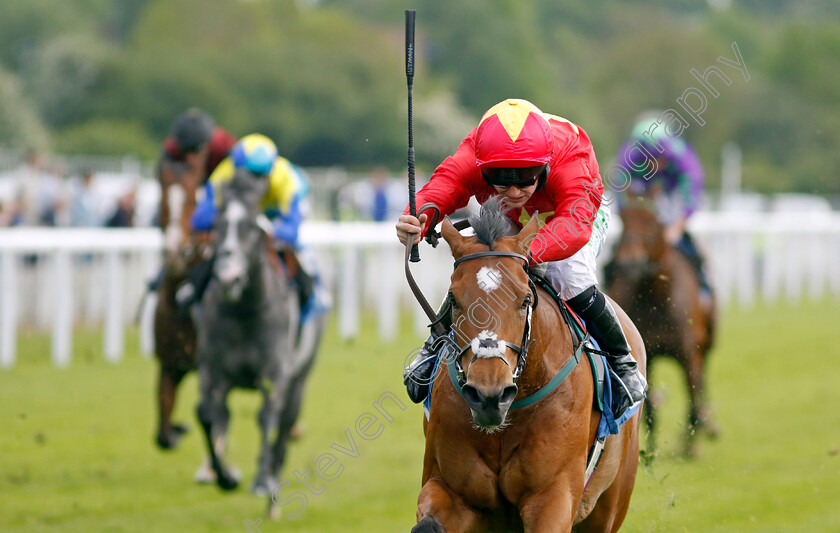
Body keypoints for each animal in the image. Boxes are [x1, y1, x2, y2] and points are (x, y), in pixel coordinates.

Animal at [195, 169, 326, 494]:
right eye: (217, 225)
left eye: (253, 226)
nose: (228, 276)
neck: (244, 312)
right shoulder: (212, 370)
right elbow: (208, 414)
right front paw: (223, 475)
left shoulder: (274, 373)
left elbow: (267, 417)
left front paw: (262, 479)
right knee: (224, 416)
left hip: (299, 379)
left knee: (285, 421)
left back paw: (274, 469)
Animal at [414, 201, 644, 532]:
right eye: (454, 300)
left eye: (525, 300)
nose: (489, 396)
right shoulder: (449, 487)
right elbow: (429, 522)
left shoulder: (553, 496)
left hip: (611, 501)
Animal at [604, 202, 716, 456]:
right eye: (623, 220)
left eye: (652, 223)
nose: (629, 263)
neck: (657, 294)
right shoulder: (651, 355)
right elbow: (652, 409)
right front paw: (651, 450)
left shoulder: (689, 355)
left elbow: (693, 399)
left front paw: (691, 448)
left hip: (706, 346)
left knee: (702, 384)